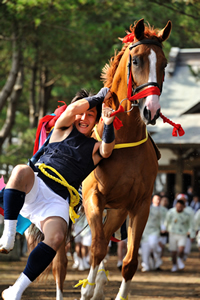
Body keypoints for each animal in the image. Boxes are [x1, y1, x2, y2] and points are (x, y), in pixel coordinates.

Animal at [76, 18, 171, 300]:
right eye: (136, 60)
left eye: (164, 64)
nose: (151, 110)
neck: (123, 140)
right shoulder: (94, 197)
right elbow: (96, 248)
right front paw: (86, 289)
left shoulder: (140, 204)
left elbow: (129, 261)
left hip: (117, 211)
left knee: (107, 236)